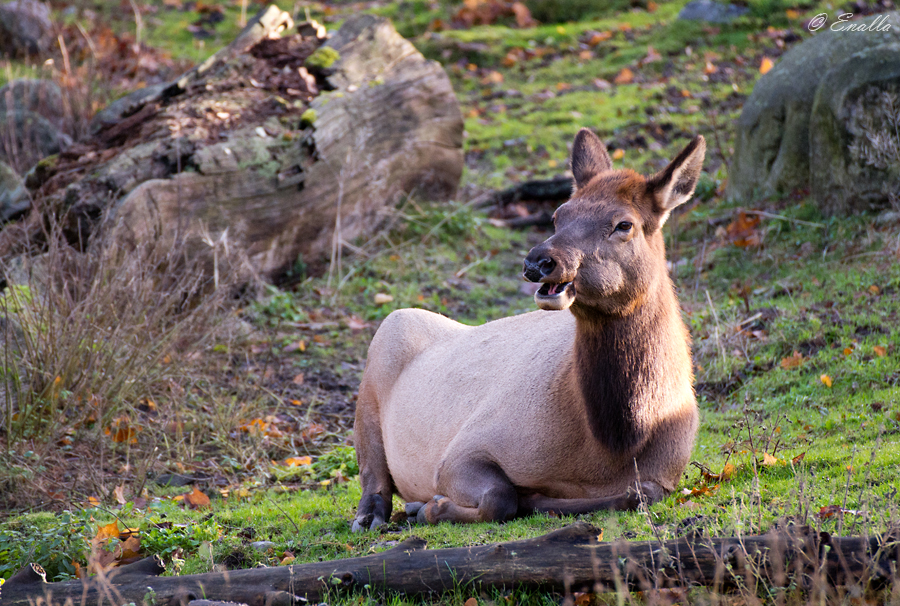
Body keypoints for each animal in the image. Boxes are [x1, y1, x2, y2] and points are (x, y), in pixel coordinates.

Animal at [350, 129, 704, 532]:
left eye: (623, 224)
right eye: (558, 215)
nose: (538, 261)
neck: (616, 441)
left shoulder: (665, 473)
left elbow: (638, 493)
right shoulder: (461, 451)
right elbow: (499, 497)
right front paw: (430, 507)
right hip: (378, 364)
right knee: (371, 472)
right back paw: (373, 515)